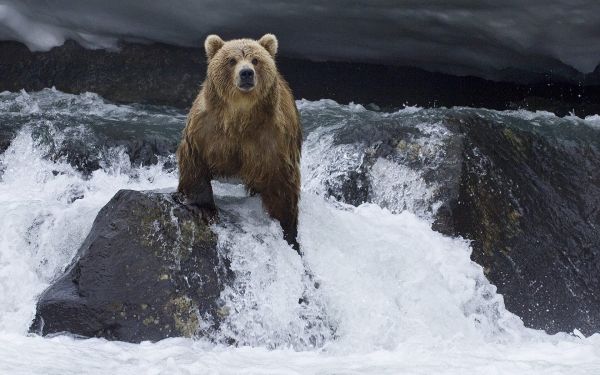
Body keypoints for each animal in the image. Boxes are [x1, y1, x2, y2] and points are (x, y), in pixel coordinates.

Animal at [176, 34, 302, 253]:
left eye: (255, 60)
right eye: (231, 60)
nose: (246, 73)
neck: (240, 117)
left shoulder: (274, 139)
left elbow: (282, 183)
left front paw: (288, 229)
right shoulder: (206, 128)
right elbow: (195, 162)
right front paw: (203, 209)